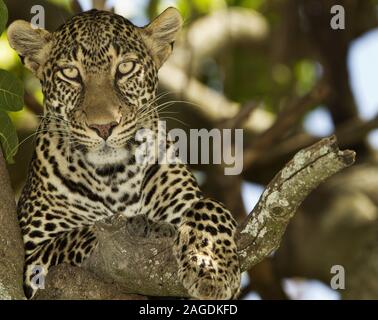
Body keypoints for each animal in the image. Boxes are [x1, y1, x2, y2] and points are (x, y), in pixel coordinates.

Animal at [7, 7, 241, 300]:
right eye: (70, 73)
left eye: (125, 68)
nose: (103, 126)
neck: (114, 178)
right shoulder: (33, 256)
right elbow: (83, 233)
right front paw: (146, 227)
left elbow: (209, 206)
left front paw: (212, 267)